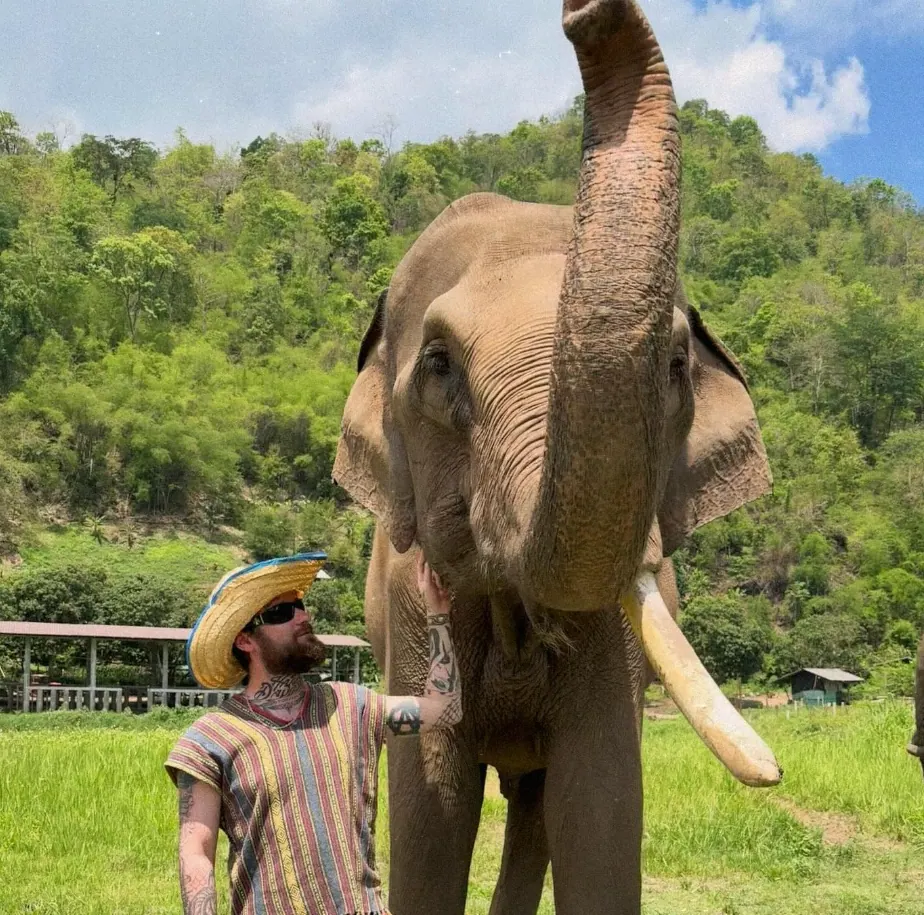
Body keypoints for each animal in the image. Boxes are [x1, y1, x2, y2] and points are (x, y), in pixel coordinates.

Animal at [333, 2, 781, 913]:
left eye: (672, 364)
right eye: (439, 365)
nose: (584, 13)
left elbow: (599, 802)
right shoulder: (408, 606)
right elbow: (431, 811)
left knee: (537, 804)